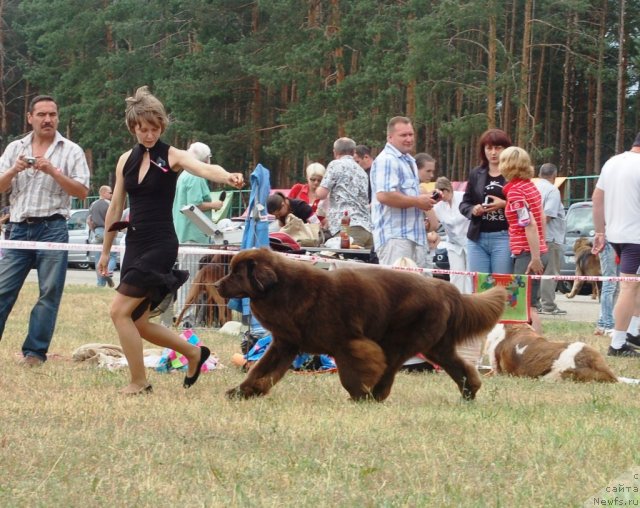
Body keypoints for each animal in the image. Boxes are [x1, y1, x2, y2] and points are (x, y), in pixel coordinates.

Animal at [218, 249, 508, 400]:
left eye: (236, 274)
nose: (217, 285)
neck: (286, 290)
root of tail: (446, 289)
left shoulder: (348, 343)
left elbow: (352, 373)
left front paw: (358, 395)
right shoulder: (285, 344)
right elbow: (260, 371)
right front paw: (242, 391)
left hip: (400, 339)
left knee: (389, 369)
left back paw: (374, 396)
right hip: (436, 346)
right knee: (460, 367)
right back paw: (469, 392)